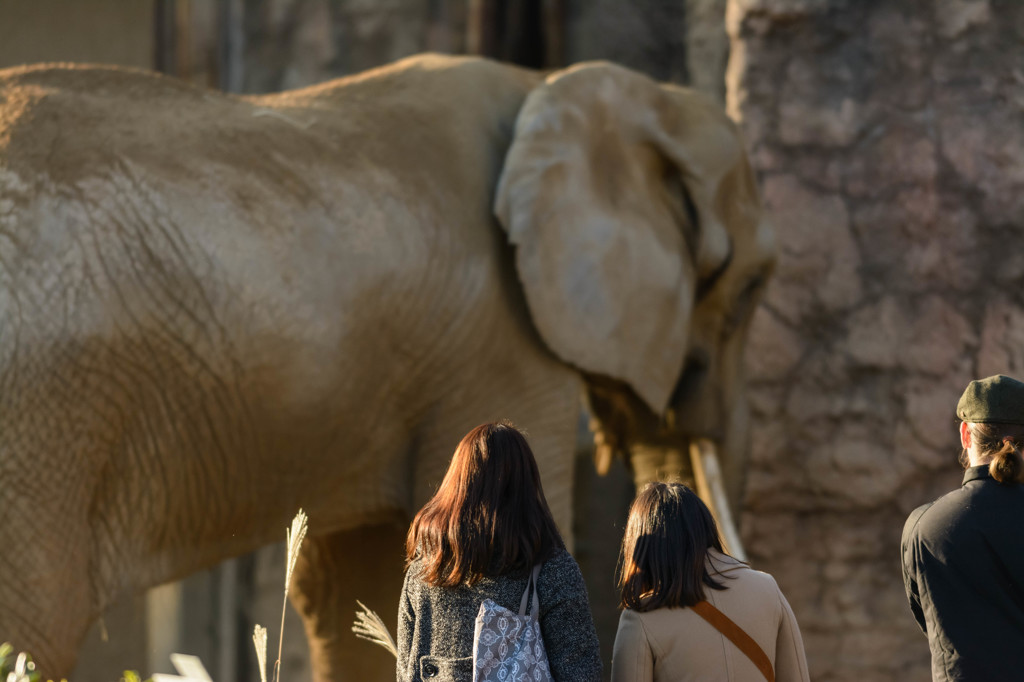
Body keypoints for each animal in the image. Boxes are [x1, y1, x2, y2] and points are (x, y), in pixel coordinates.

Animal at [0, 54, 770, 679]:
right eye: (751, 288)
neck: (557, 84)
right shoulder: (496, 339)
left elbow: (363, 581)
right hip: (39, 424)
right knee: (36, 622)